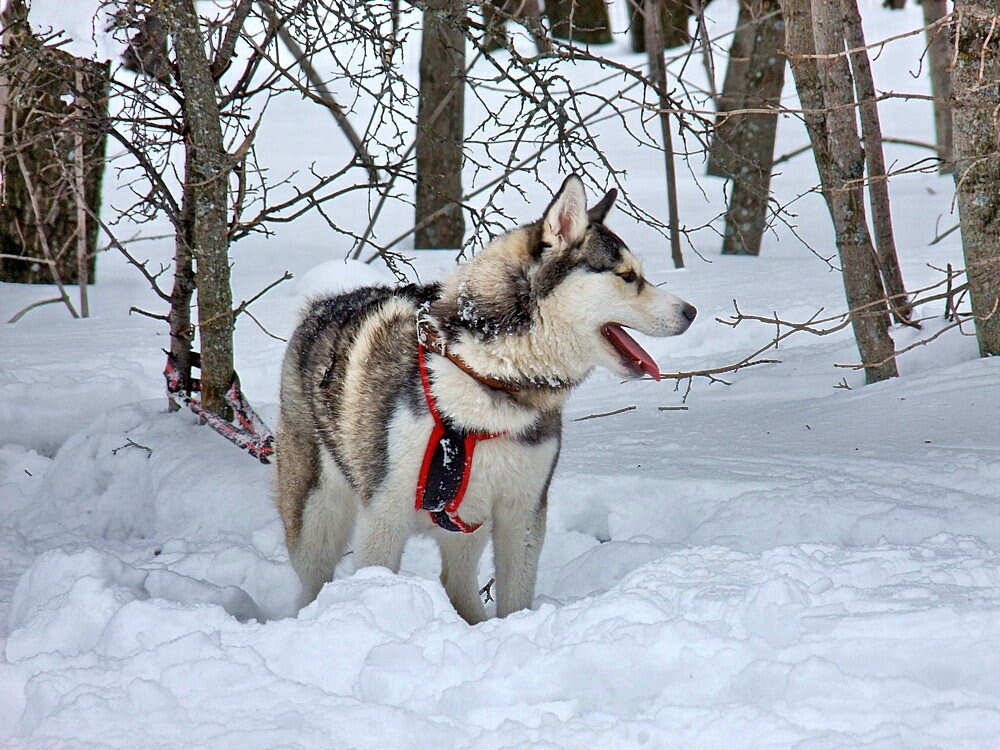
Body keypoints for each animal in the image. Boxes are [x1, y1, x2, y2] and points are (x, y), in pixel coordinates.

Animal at [274, 175, 696, 624]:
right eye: (627, 276)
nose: (691, 311)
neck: (487, 378)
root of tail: (320, 305)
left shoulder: (523, 508)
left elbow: (517, 593)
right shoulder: (386, 510)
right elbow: (376, 571)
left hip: (469, 516)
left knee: (456, 580)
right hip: (317, 514)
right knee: (313, 578)